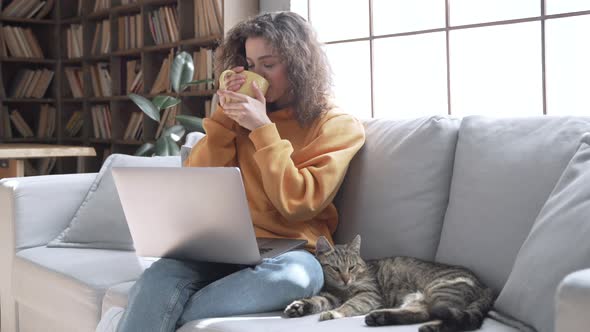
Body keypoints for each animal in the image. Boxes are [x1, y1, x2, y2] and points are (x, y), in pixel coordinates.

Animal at [284, 233, 498, 332]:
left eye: (351, 267)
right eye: (335, 269)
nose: (346, 279)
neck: (342, 290)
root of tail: (484, 285)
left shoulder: (369, 294)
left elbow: (349, 305)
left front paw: (334, 313)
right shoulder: (331, 295)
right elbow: (317, 300)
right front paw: (299, 306)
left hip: (440, 291)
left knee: (445, 316)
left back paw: (433, 327)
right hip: (419, 300)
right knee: (421, 313)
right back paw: (380, 318)